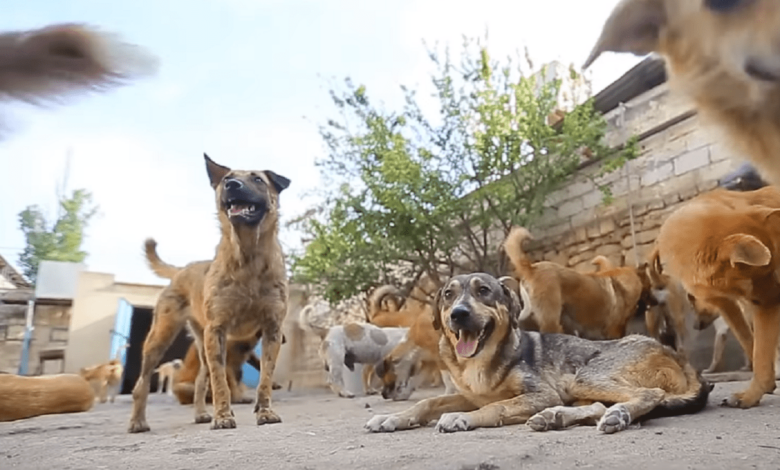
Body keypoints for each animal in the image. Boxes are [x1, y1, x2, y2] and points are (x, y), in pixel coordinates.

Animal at [129, 155, 290, 434]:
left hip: (203, 346)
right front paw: (223, 417)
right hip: (161, 339)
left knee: (201, 381)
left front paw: (265, 412)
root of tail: (181, 270)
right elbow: (221, 382)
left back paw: (201, 414)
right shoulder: (219, 331)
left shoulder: (271, 330)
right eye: (227, 178)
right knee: (142, 384)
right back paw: (138, 421)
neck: (249, 257)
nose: (232, 185)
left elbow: (265, 379)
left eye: (258, 179)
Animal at [362, 274, 708, 436]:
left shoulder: (541, 393)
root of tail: (678, 358)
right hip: (581, 385)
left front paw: (462, 418)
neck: (482, 361)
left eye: (483, 291)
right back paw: (555, 417)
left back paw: (616, 415)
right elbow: (428, 402)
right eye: (448, 295)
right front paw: (390, 418)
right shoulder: (470, 395)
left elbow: (497, 407)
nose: (458, 315)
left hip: (585, 375)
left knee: (650, 394)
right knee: (600, 405)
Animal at [648, 185, 780, 408]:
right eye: (764, 272)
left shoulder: (758, 304)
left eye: (771, 270)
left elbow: (760, 349)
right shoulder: (729, 303)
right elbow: (752, 344)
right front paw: (757, 391)